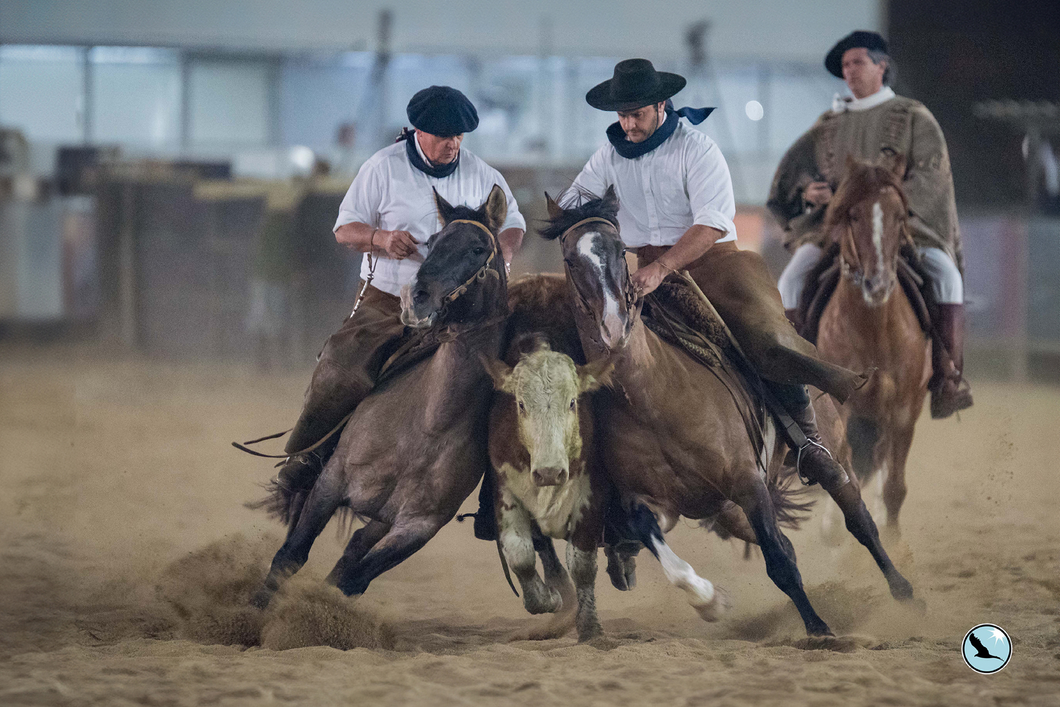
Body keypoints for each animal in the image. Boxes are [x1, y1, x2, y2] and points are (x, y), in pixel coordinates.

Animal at [252, 185, 508, 606]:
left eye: (477, 248)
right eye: (432, 241)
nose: (416, 298)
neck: (430, 422)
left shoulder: (417, 526)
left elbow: (352, 576)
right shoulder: (332, 481)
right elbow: (291, 554)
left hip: (383, 520)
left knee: (356, 546)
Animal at [542, 186, 915, 635]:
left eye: (619, 249)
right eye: (570, 259)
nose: (614, 325)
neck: (651, 398)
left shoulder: (746, 482)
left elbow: (780, 562)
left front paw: (818, 629)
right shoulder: (651, 502)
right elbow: (664, 548)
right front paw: (711, 602)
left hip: (833, 454)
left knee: (857, 516)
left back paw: (903, 591)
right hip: (728, 511)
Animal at [814, 162, 932, 536]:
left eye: (899, 216)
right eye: (853, 215)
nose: (877, 284)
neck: (875, 333)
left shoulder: (904, 410)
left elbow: (895, 486)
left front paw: (891, 536)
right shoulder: (837, 402)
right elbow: (842, 459)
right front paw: (833, 525)